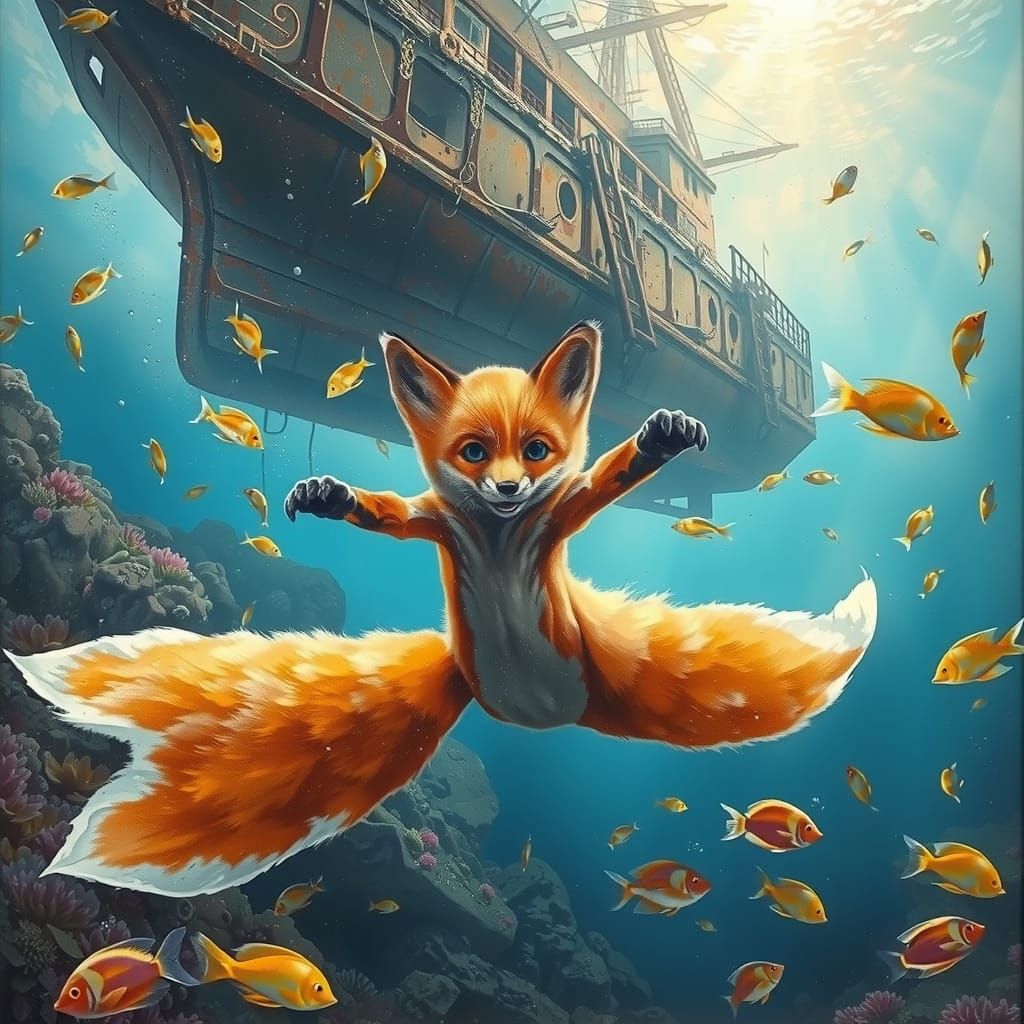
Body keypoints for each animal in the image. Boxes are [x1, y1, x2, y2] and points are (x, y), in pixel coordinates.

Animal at [6, 321, 877, 897]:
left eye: (537, 450)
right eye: (473, 451)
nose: (508, 488)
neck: (496, 536)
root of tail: (535, 710)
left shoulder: (561, 509)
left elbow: (607, 478)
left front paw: (661, 436)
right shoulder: (432, 518)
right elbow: (385, 511)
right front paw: (327, 495)